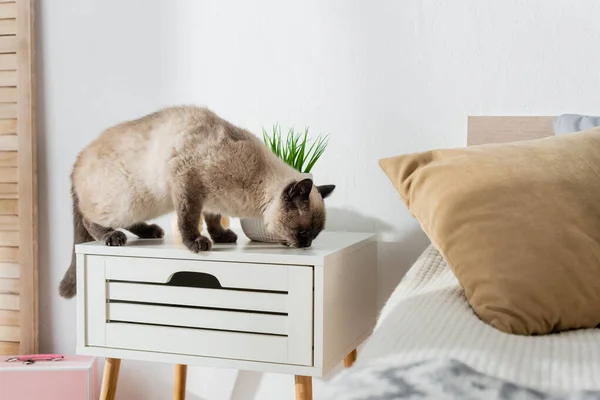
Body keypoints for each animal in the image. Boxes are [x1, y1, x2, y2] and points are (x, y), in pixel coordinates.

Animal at [58, 104, 336, 298]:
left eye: (314, 235)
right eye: (303, 233)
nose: (306, 246)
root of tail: (77, 159)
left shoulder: (212, 199)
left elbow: (212, 220)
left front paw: (222, 237)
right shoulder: (188, 183)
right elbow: (189, 219)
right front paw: (198, 243)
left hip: (144, 204)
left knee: (129, 222)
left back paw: (151, 231)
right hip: (127, 202)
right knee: (89, 219)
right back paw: (111, 237)